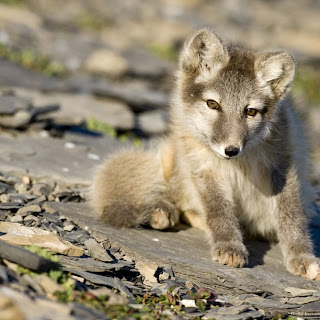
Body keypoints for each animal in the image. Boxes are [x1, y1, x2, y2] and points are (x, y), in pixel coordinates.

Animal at [90, 29, 320, 280]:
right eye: (213, 104)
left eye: (250, 111)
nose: (231, 150)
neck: (239, 163)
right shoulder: (203, 167)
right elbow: (218, 211)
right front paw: (229, 246)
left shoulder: (282, 167)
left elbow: (292, 217)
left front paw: (302, 257)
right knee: (176, 198)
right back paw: (163, 211)